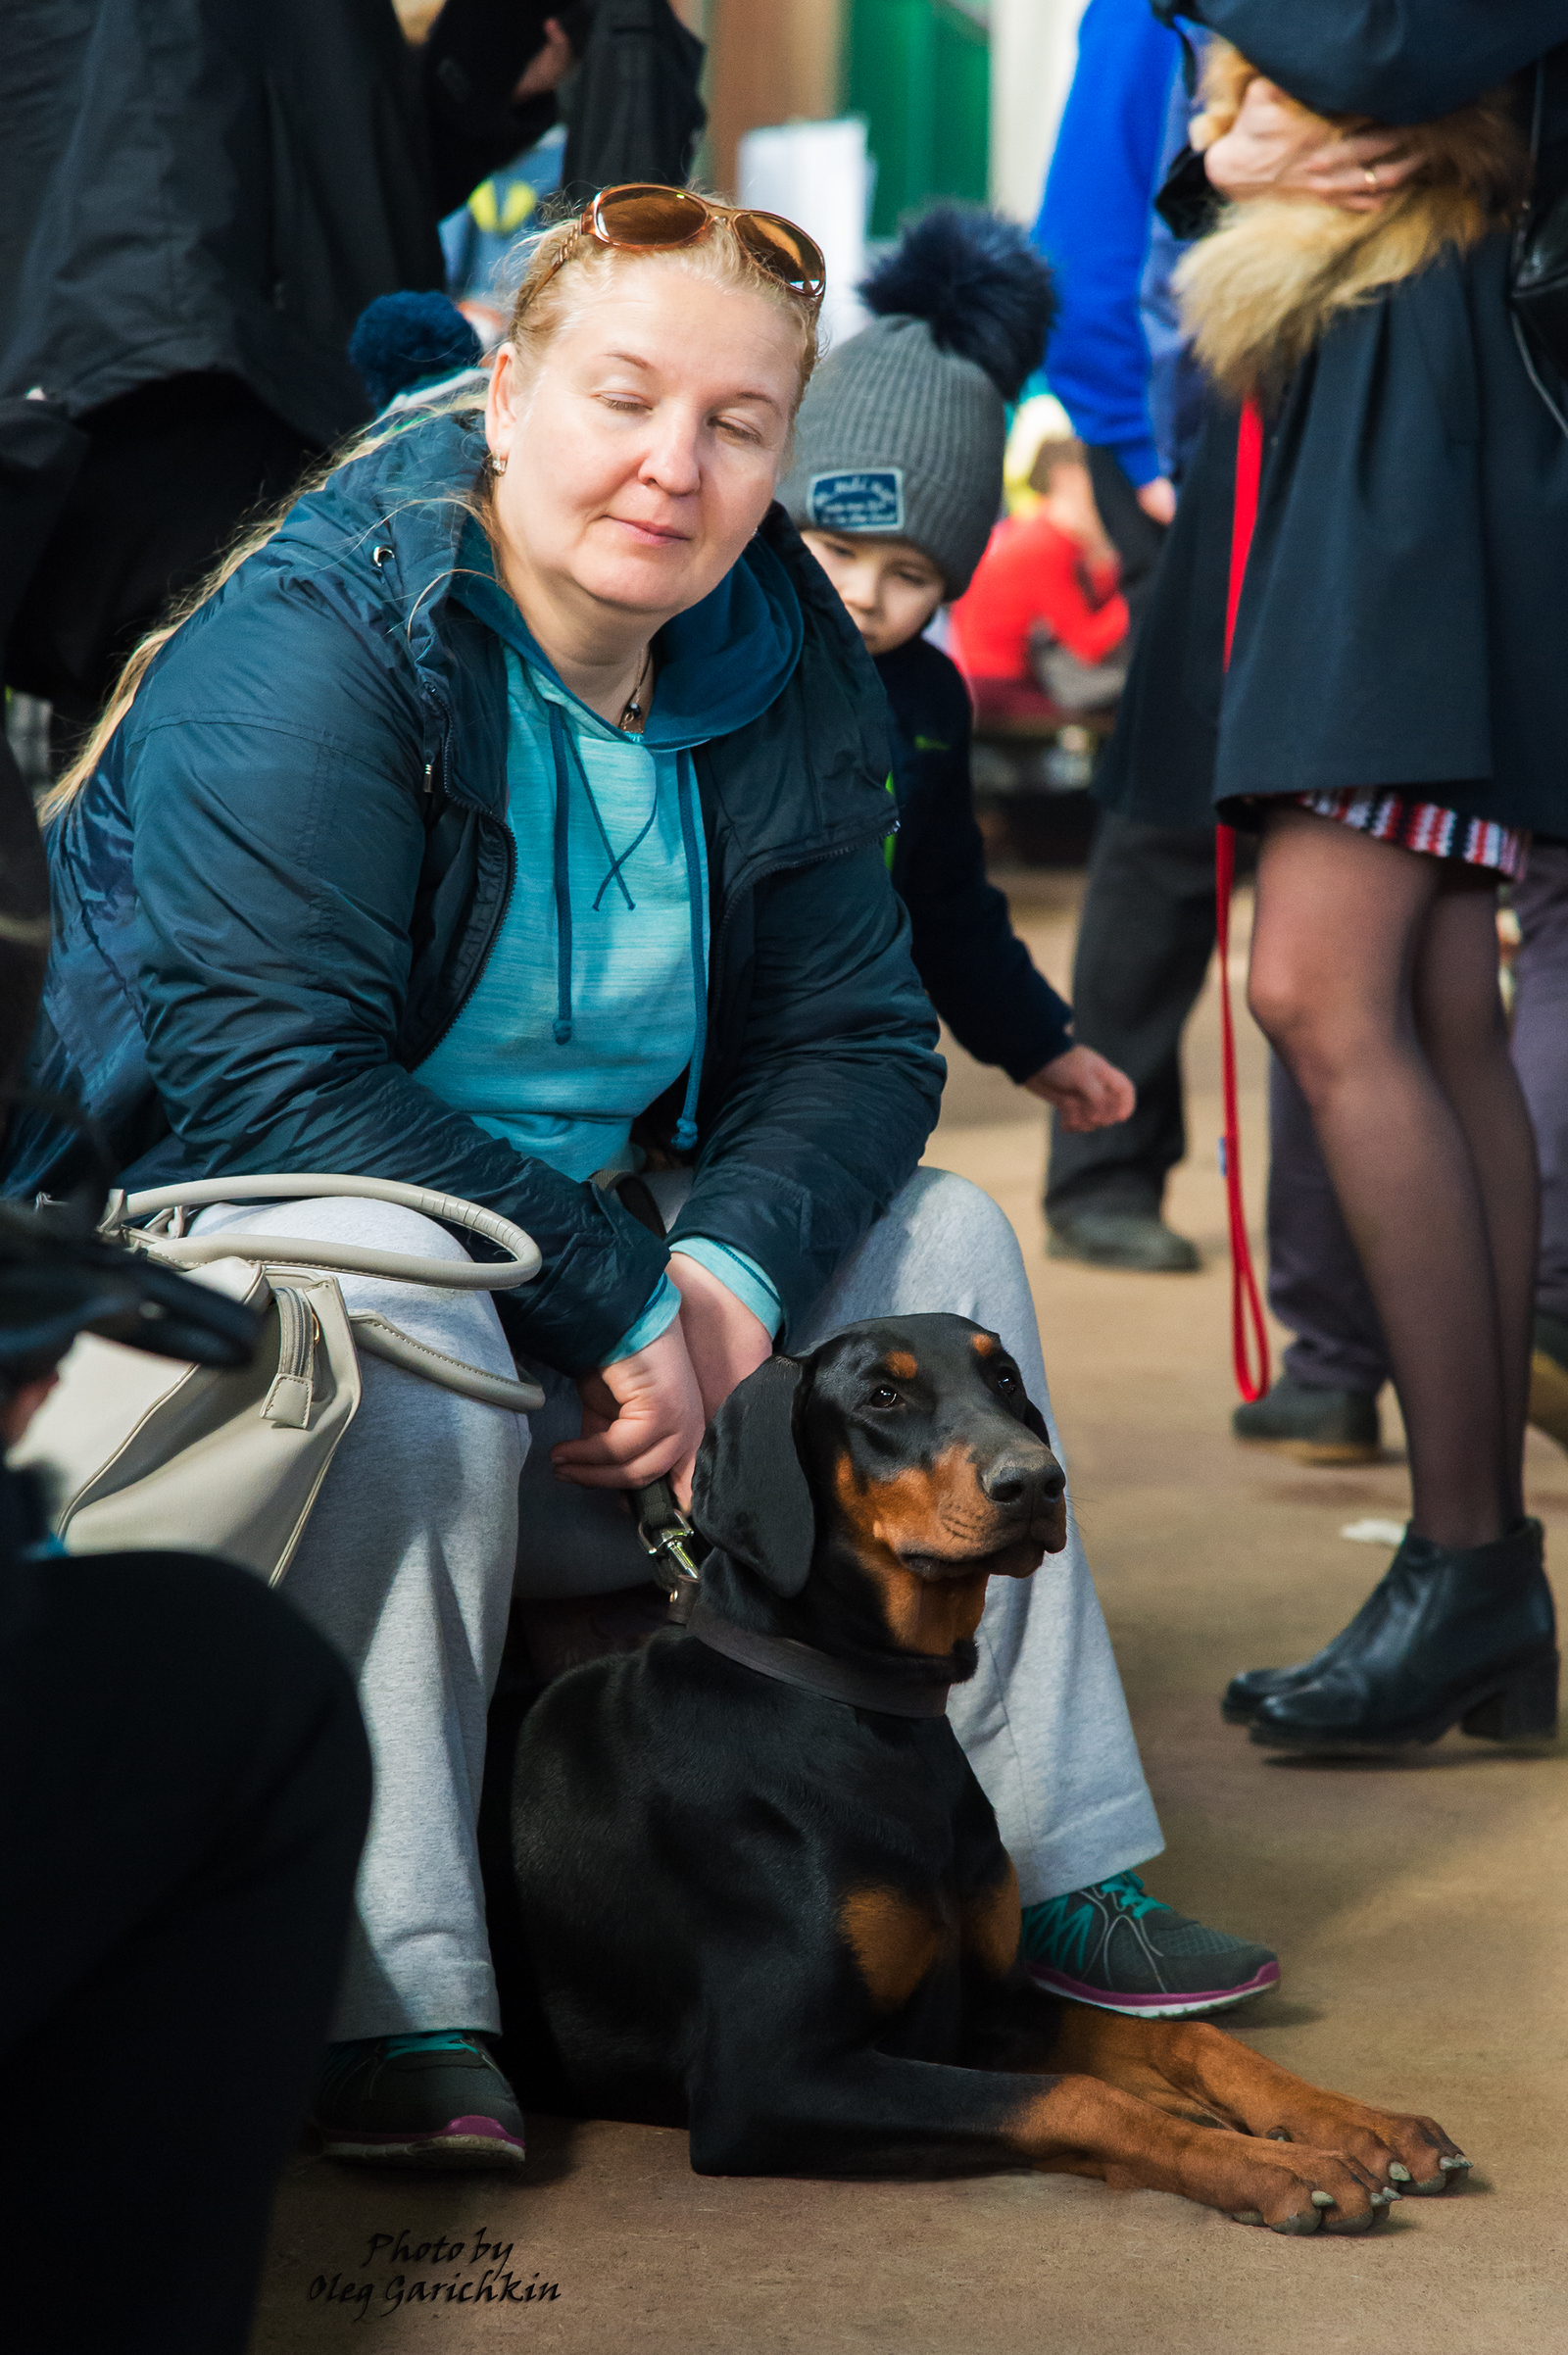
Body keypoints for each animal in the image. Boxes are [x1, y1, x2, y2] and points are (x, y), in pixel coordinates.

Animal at [482, 1318, 1459, 2232]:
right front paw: (1274, 2165)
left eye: (1006, 1378)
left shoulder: (982, 2003)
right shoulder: (765, 2081)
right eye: (881, 1395)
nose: (1035, 1480)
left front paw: (1358, 2124)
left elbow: (1199, 2045)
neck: (863, 1711)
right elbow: (1082, 2094)